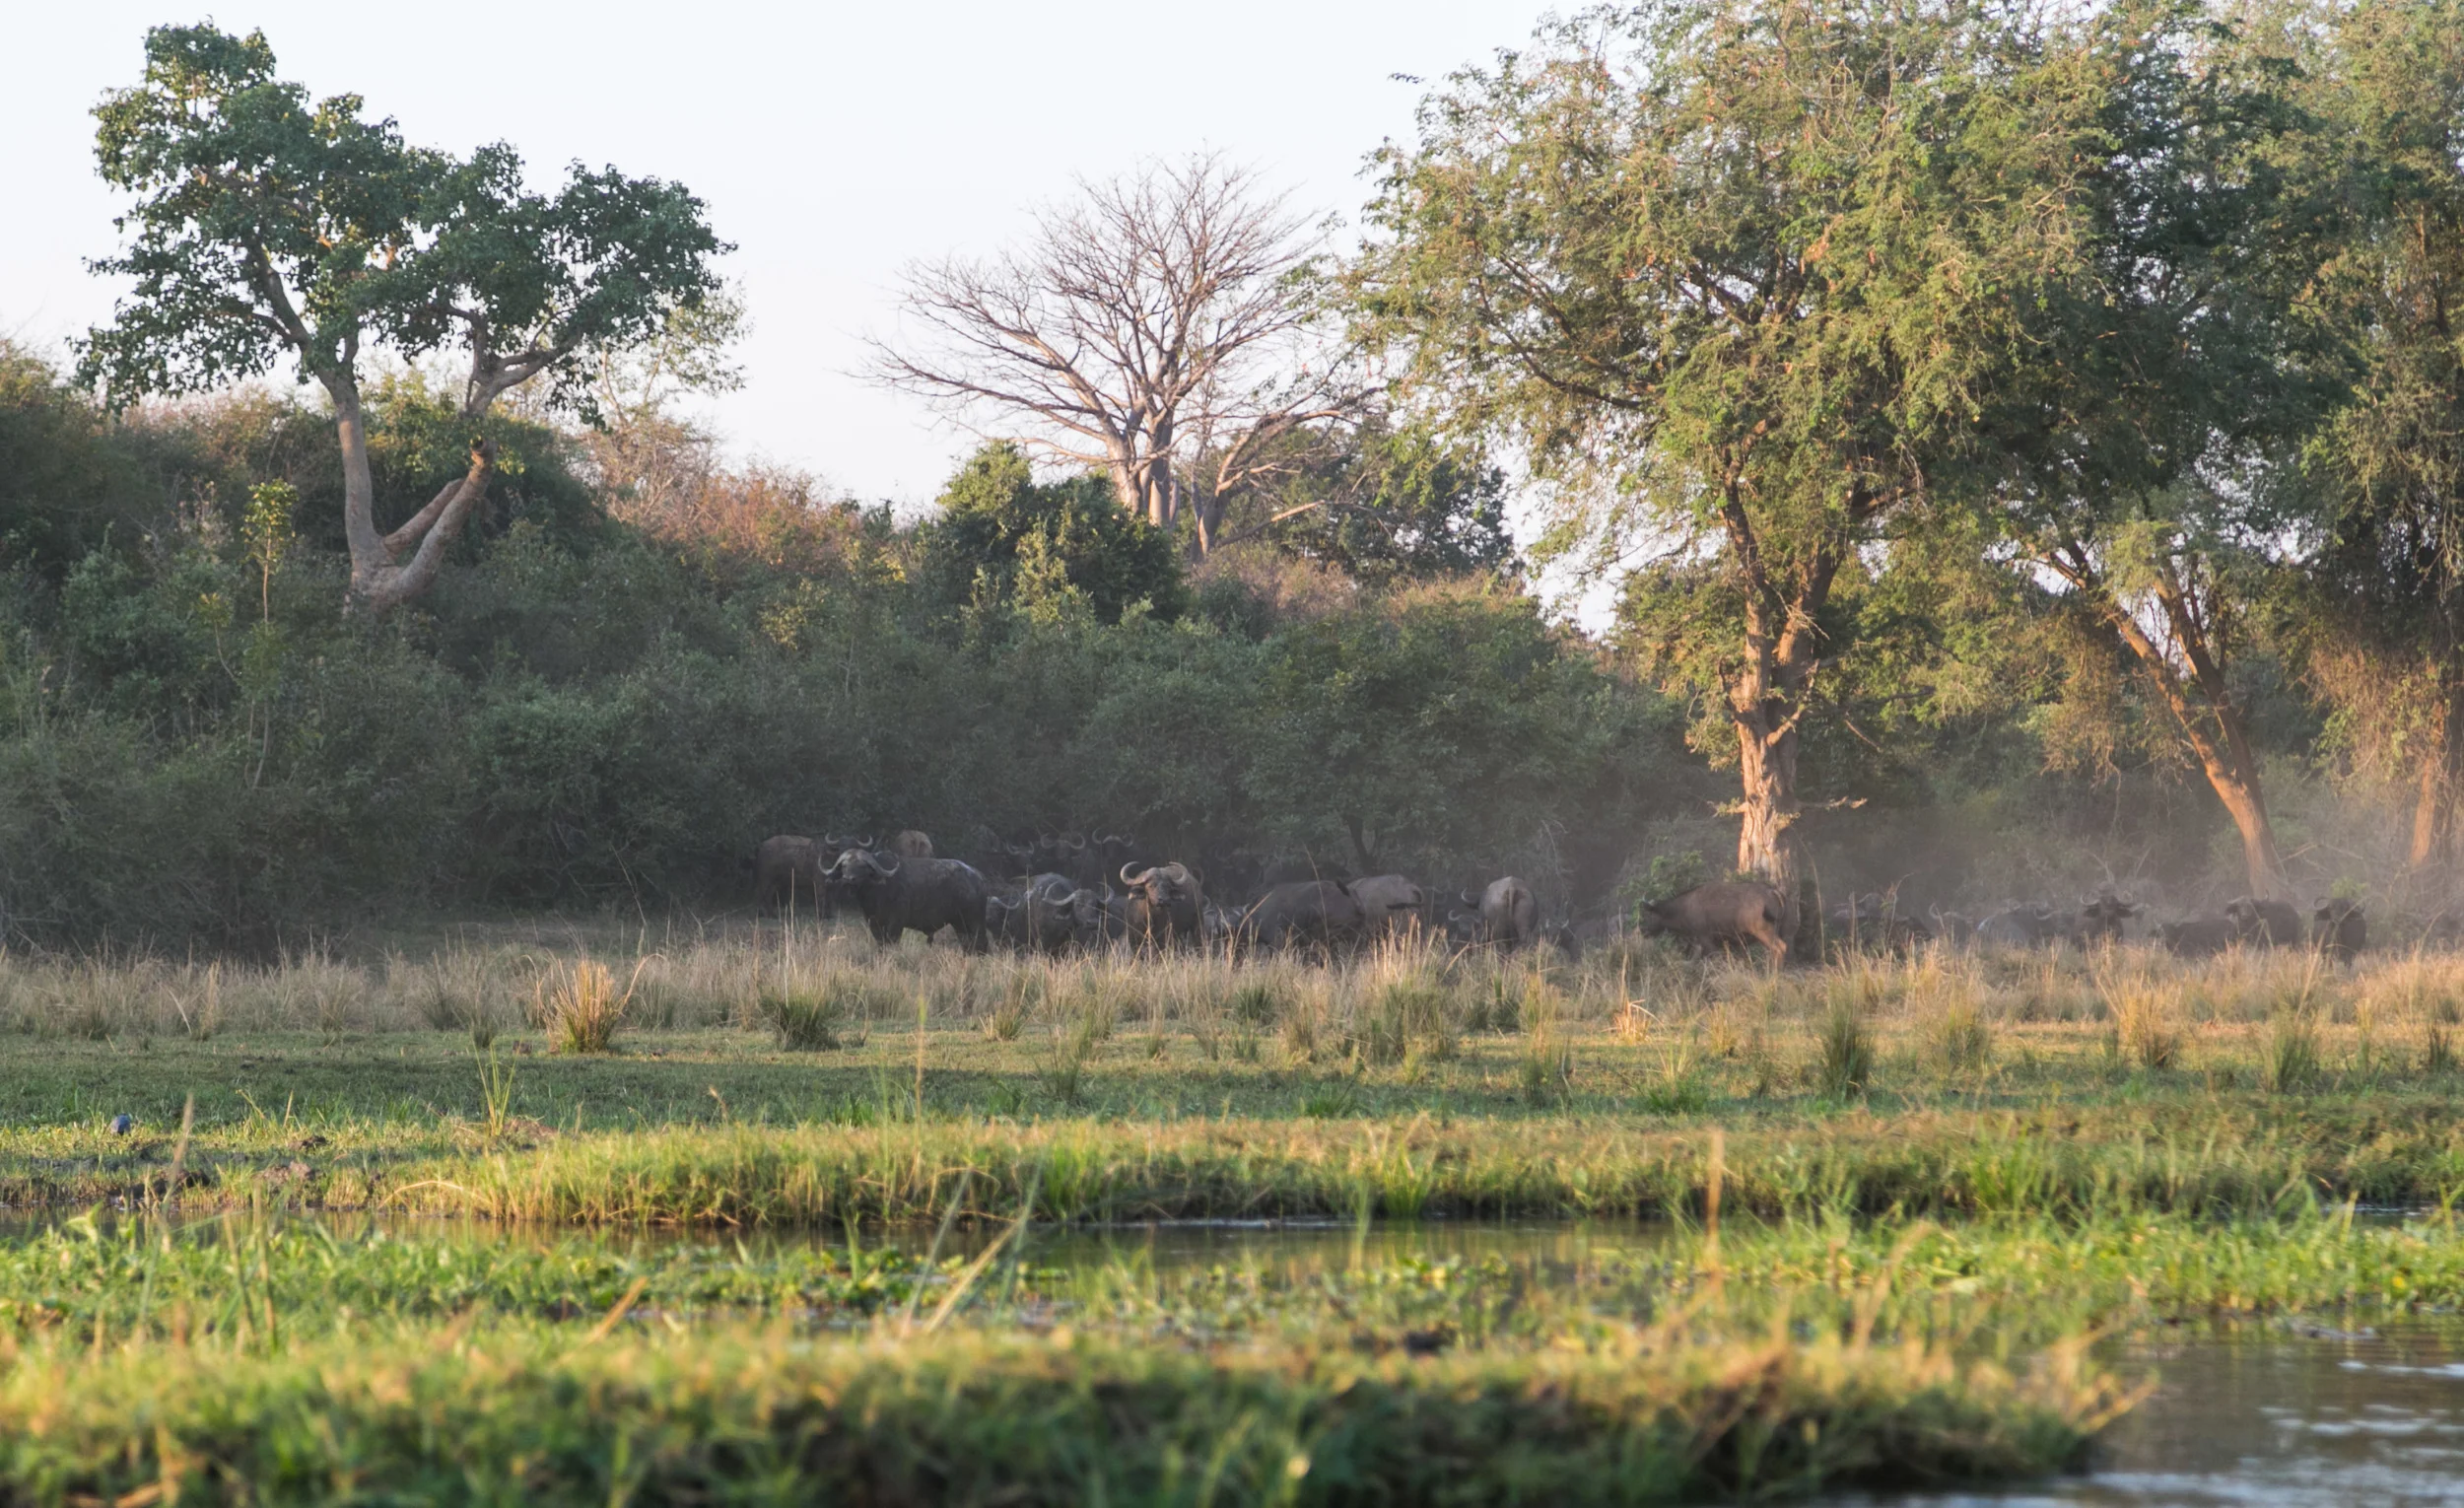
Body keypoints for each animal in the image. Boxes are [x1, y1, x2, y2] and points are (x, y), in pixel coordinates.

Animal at [825, 848, 992, 949]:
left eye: (862, 866)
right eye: (844, 866)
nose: (848, 879)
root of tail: (979, 877)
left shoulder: (896, 923)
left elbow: (891, 942)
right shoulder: (874, 923)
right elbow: (881, 944)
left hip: (975, 920)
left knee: (981, 942)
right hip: (959, 923)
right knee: (967, 944)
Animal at [1636, 881, 1788, 965]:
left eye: (1649, 914)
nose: (1643, 930)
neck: (1684, 908)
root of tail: (1772, 891)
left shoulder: (1706, 939)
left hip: (1763, 931)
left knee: (1779, 948)